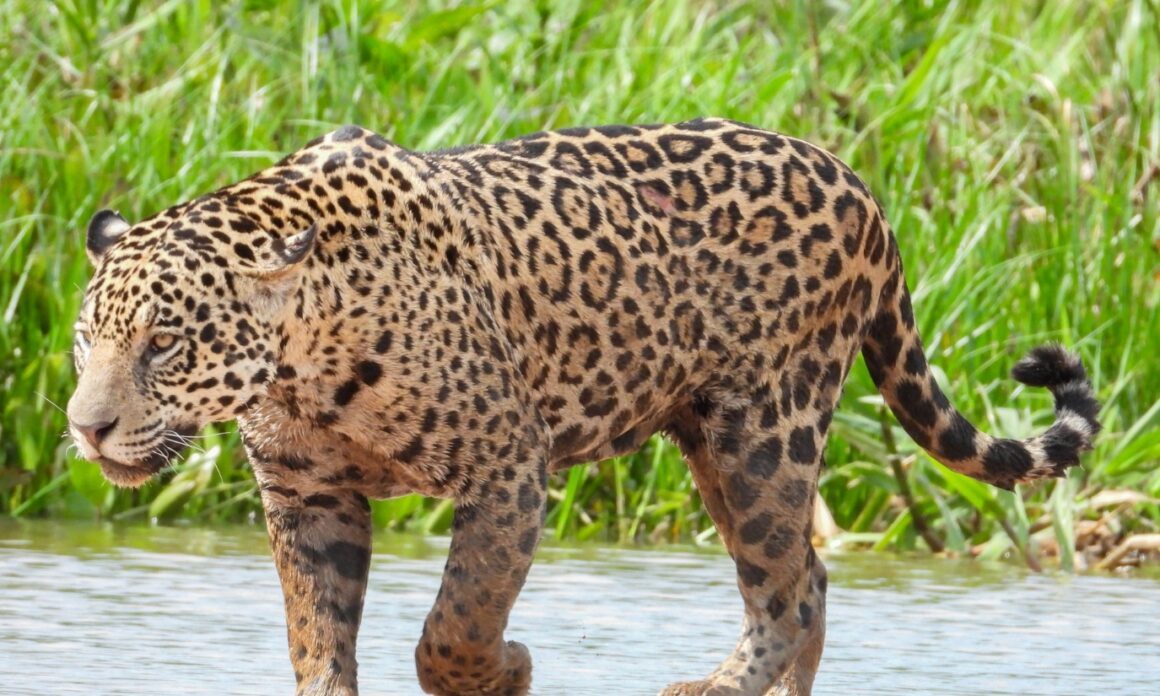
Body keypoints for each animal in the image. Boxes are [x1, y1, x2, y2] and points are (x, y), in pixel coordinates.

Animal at [67, 118, 1100, 695]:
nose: (86, 425)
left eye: (164, 343)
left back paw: (713, 690)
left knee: (788, 587)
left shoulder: (506, 473)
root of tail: (856, 183)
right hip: (712, 440)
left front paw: (507, 672)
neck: (304, 361)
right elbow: (317, 638)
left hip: (763, 434)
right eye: (86, 341)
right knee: (808, 576)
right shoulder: (305, 496)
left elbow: (458, 622)